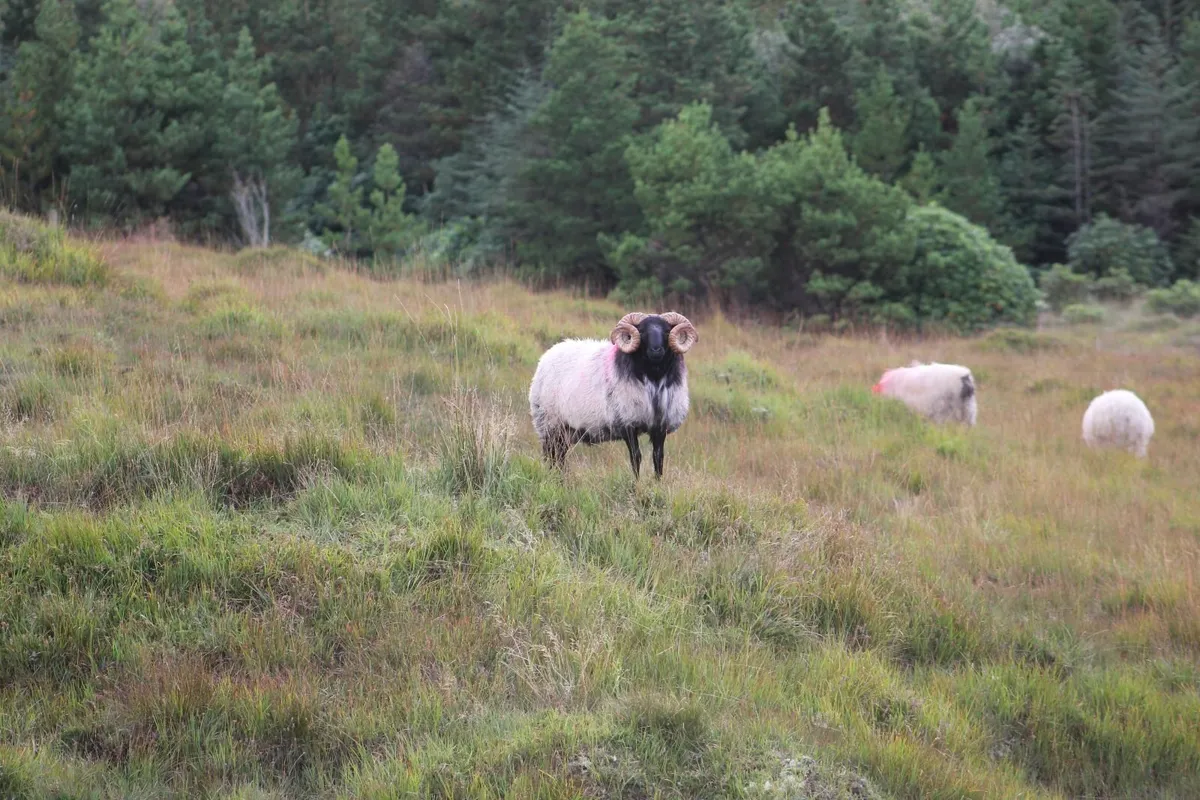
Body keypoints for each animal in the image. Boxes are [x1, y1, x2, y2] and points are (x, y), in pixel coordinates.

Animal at [529, 311, 699, 479]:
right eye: (642, 331)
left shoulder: (660, 426)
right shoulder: (628, 423)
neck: (653, 378)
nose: (656, 350)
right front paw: (637, 483)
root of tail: (547, 356)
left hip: (565, 430)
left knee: (559, 457)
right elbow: (636, 457)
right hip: (550, 424)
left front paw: (658, 483)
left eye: (667, 331)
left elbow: (658, 458)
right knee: (551, 456)